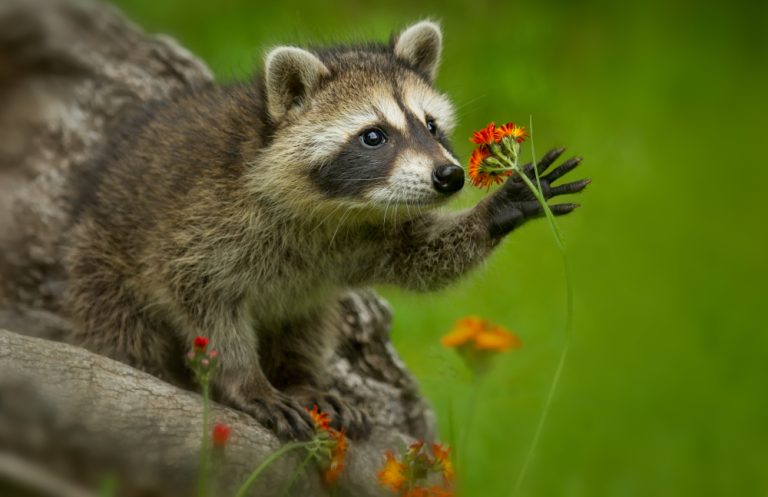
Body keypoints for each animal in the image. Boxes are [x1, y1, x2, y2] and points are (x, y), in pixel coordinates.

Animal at [64, 20, 588, 439]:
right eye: (373, 136)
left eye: (431, 126)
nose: (450, 177)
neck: (335, 208)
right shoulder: (203, 223)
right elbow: (204, 301)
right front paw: (244, 380)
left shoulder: (368, 233)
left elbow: (421, 256)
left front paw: (498, 208)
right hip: (100, 270)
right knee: (127, 335)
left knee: (307, 321)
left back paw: (301, 377)